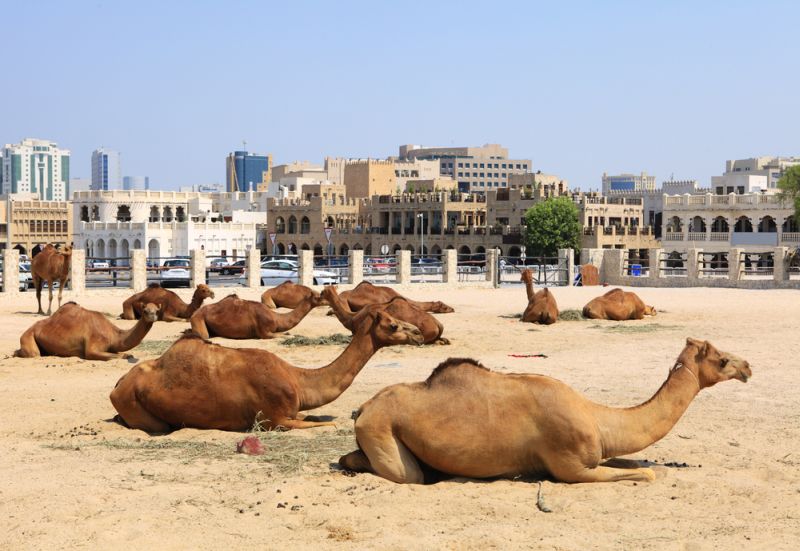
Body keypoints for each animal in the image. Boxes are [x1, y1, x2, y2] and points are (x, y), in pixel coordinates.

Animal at [15, 302, 161, 362]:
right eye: (145, 310)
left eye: (157, 310)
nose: (152, 315)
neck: (113, 335)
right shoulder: (93, 346)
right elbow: (120, 356)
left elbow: (123, 354)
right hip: (28, 337)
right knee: (34, 354)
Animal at [111, 308, 432, 434]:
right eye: (393, 324)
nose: (418, 333)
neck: (297, 380)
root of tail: (117, 386)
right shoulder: (275, 419)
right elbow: (321, 425)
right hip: (139, 409)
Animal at [189, 294, 320, 340]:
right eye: (317, 296)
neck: (276, 318)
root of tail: (194, 313)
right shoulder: (264, 332)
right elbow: (277, 335)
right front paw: (292, 336)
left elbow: (284, 332)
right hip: (197, 318)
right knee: (204, 336)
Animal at [340, 338, 752, 486]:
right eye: (722, 359)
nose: (748, 366)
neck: (598, 418)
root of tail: (363, 408)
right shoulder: (570, 467)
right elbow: (644, 475)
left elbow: (633, 464)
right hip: (382, 429)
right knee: (404, 474)